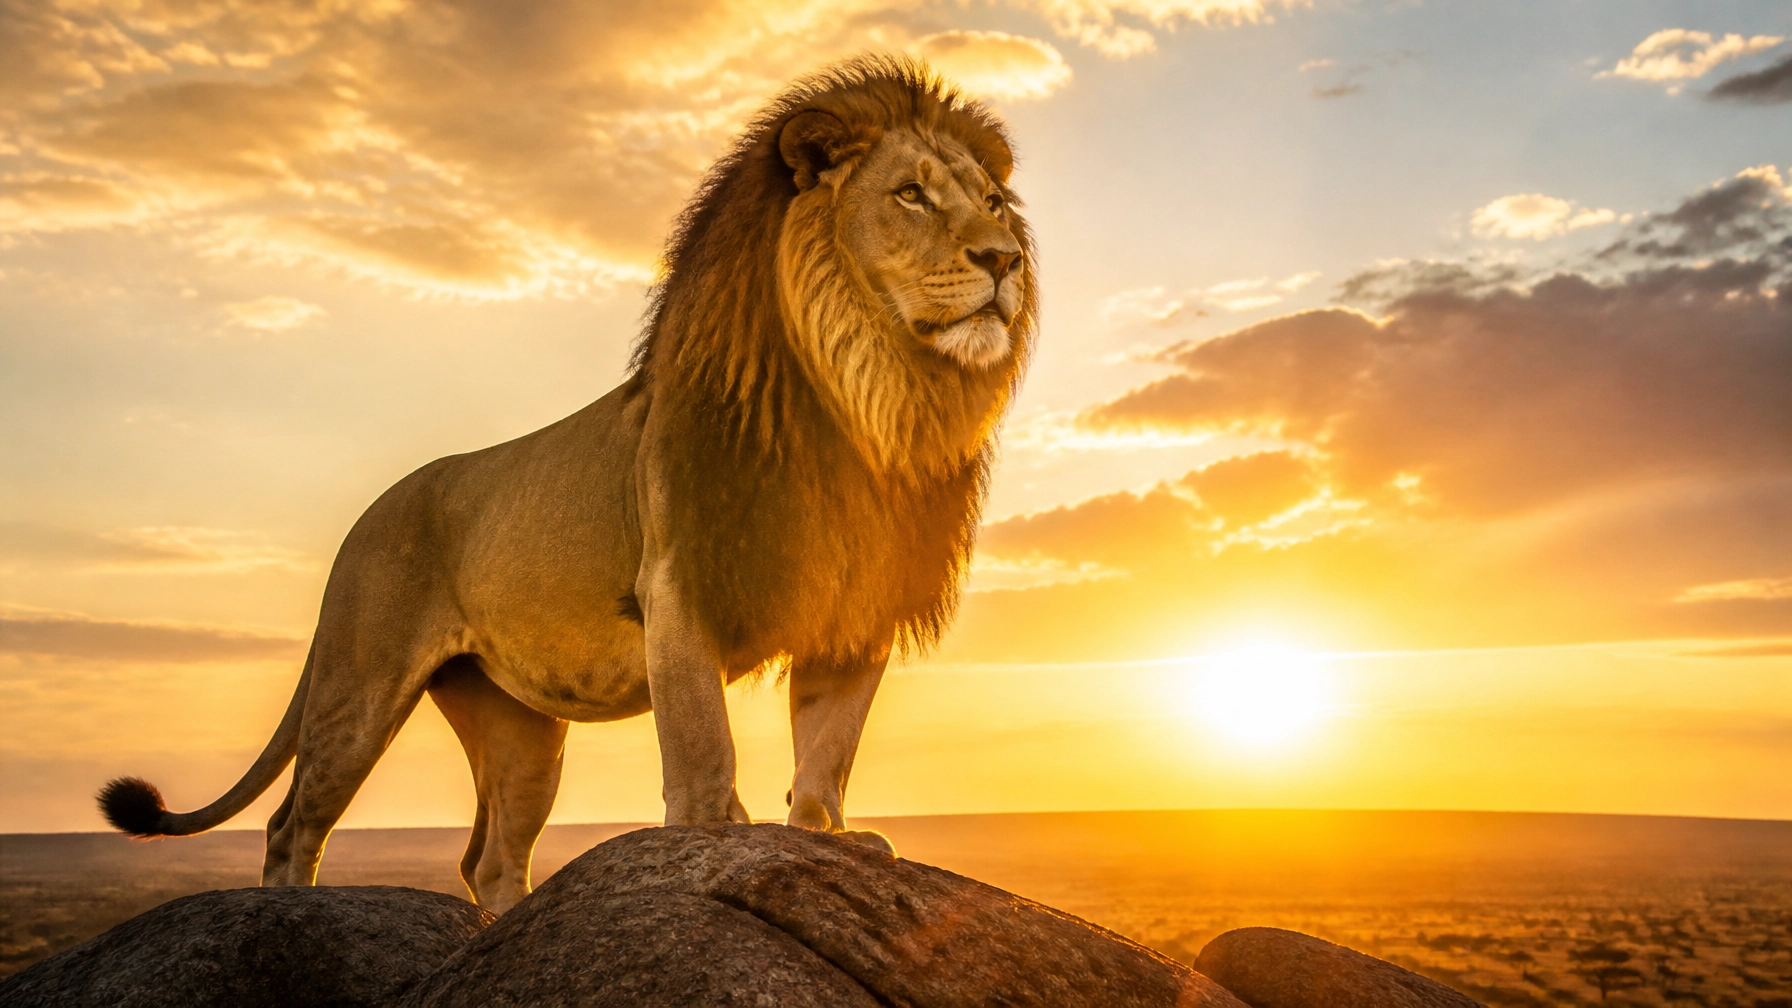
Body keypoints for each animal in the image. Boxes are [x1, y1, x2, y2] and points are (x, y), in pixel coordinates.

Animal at [96, 54, 1035, 913]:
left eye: (991, 202)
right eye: (909, 196)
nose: (1006, 259)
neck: (864, 402)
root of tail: (369, 514)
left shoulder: (856, 608)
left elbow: (828, 747)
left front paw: (827, 836)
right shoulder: (678, 584)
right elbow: (704, 745)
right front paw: (716, 836)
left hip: (519, 728)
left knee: (491, 857)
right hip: (358, 685)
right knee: (293, 823)